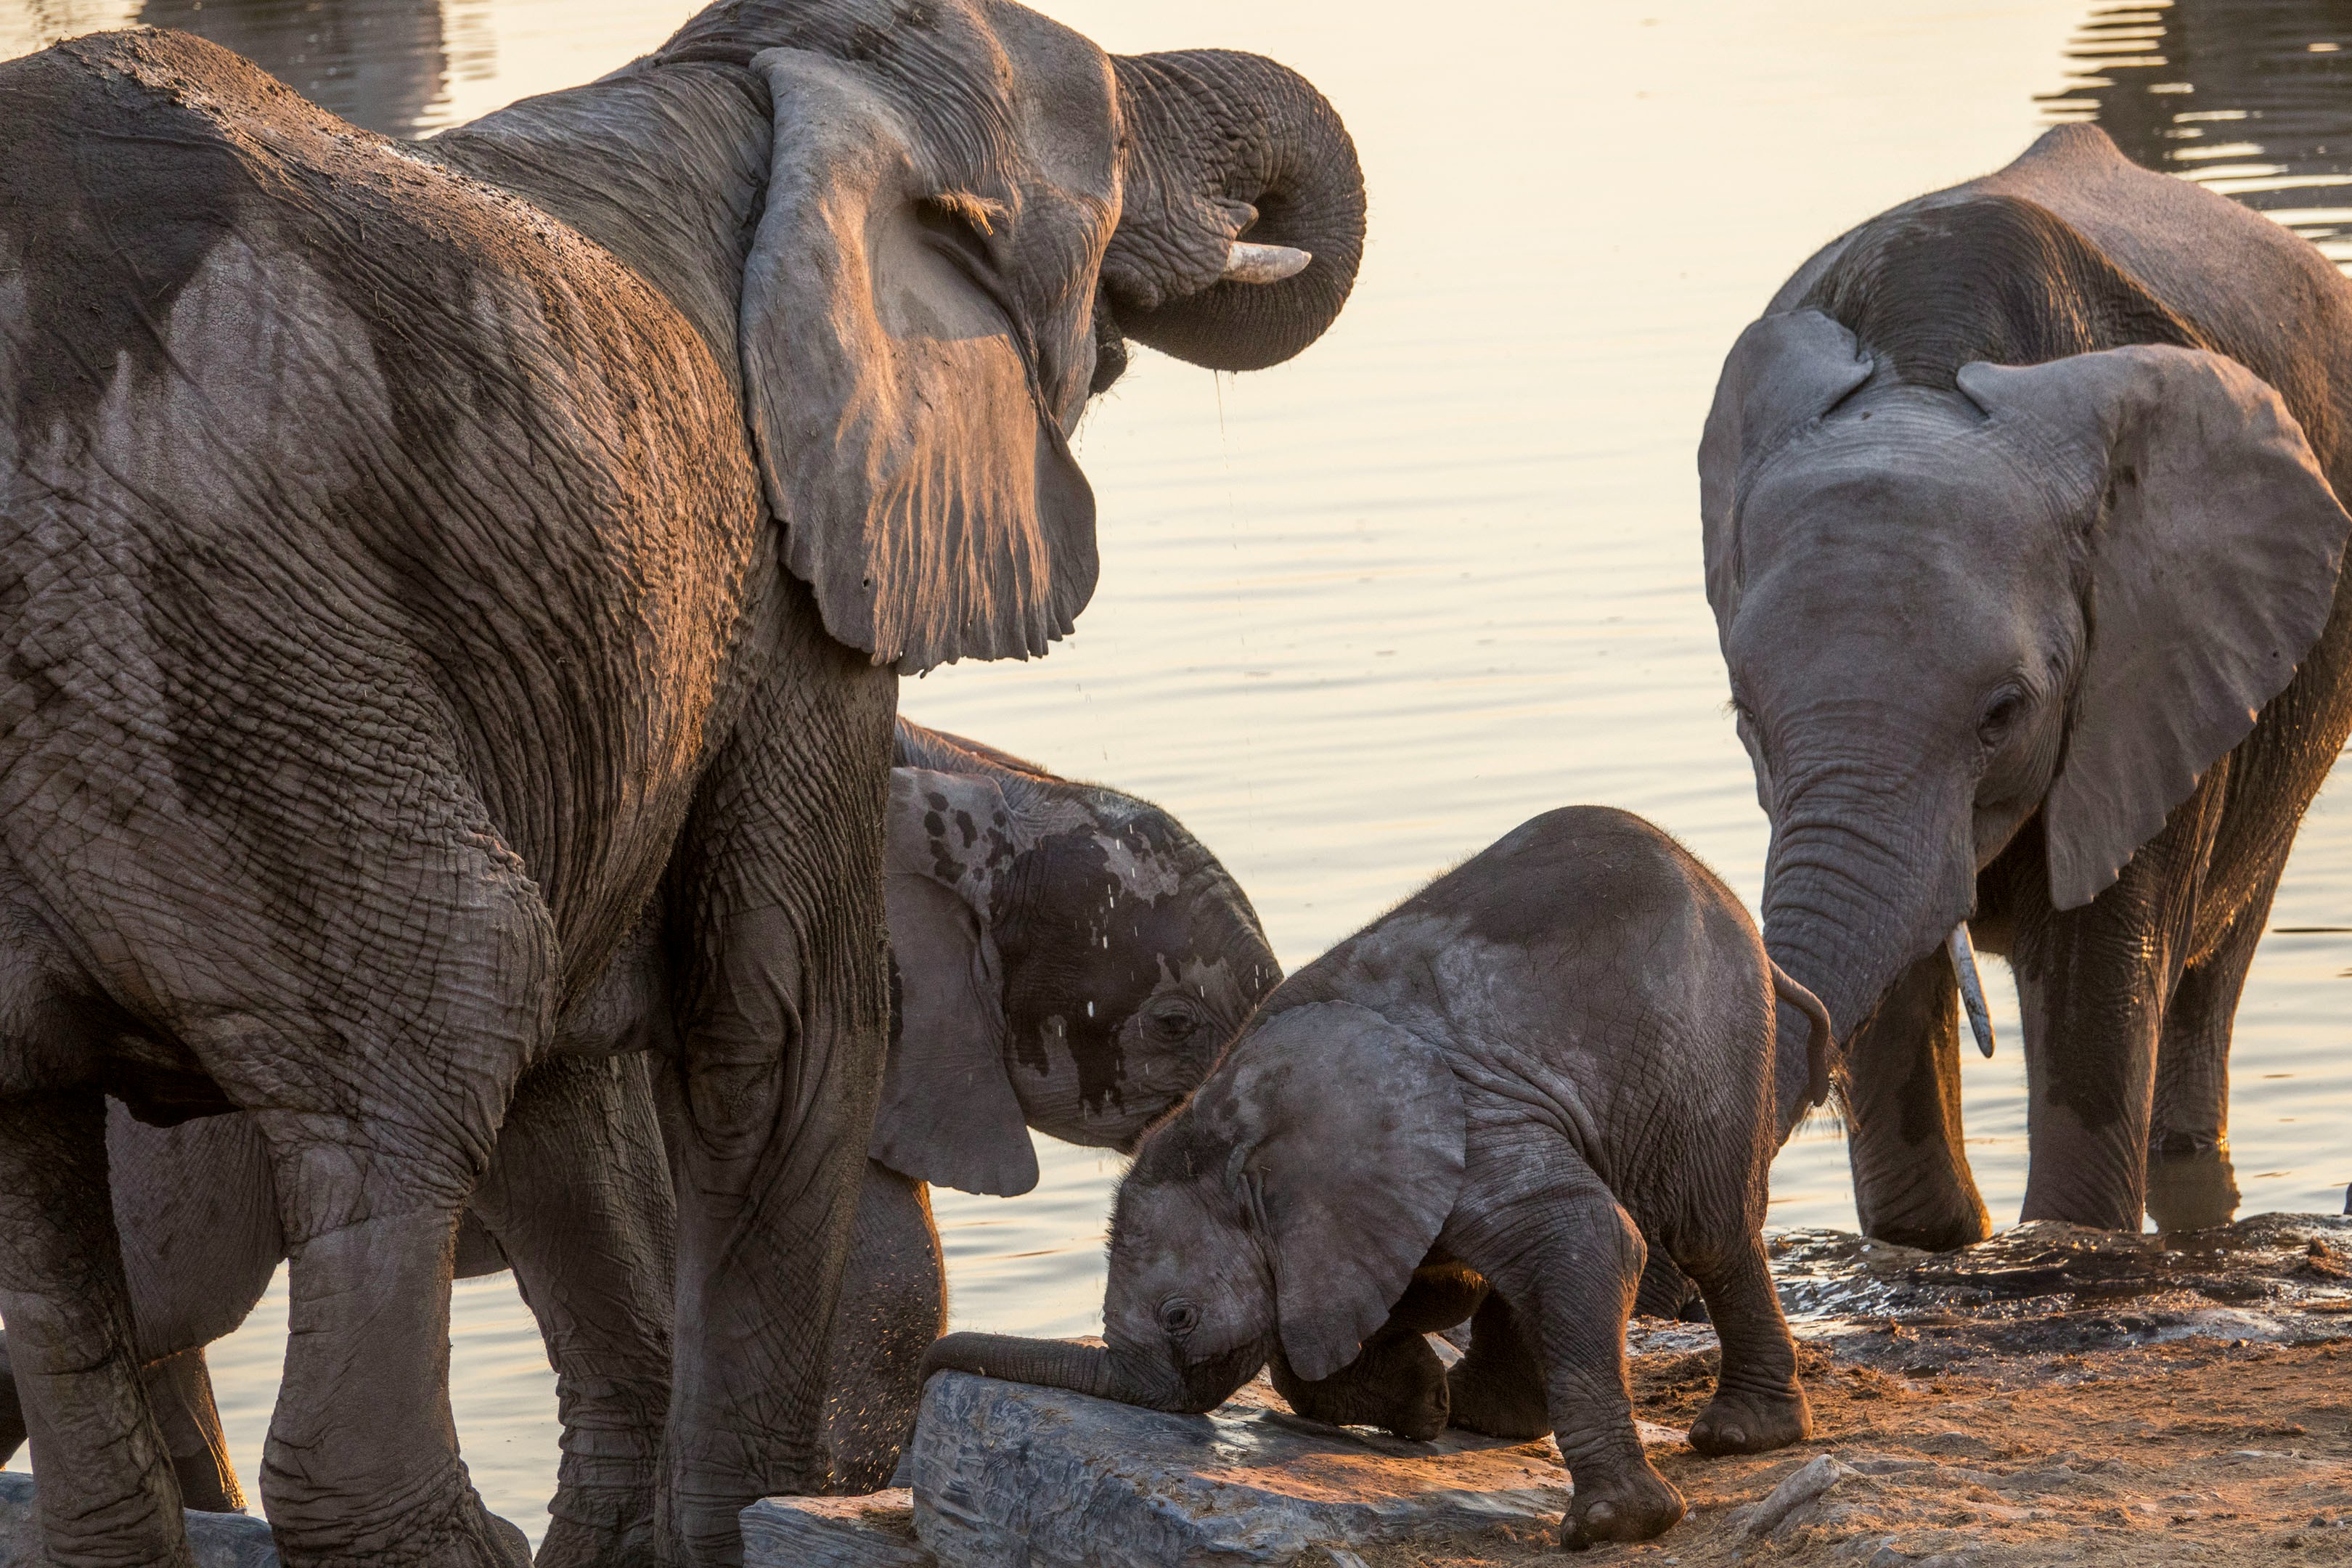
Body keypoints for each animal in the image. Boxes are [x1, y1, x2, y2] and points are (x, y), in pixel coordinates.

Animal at [925, 806, 1833, 1549]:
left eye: (1179, 1317)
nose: (930, 1362)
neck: (1234, 1119)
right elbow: (1396, 1303)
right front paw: (1422, 1405)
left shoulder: (1466, 1119)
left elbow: (1590, 1236)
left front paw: (1611, 1528)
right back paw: (1482, 1414)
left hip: (1703, 1046)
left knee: (1707, 1231)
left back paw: (1735, 1438)